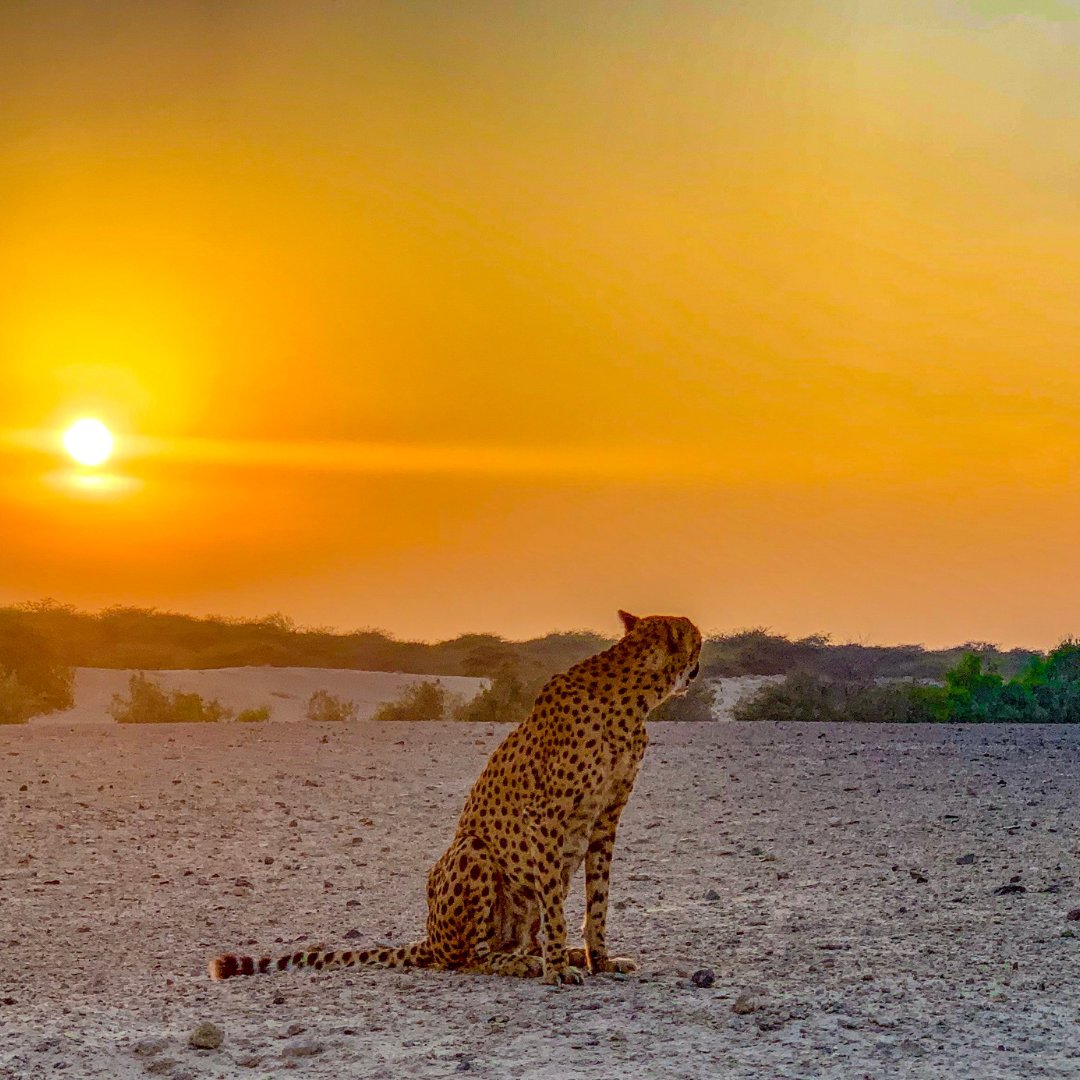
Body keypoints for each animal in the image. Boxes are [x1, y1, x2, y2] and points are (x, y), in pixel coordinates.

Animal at [207, 613, 704, 984]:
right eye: (697, 640)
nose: (701, 658)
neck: (632, 699)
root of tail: (431, 937)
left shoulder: (605, 820)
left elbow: (597, 901)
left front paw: (598, 958)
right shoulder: (545, 815)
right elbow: (557, 910)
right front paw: (558, 967)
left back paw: (543, 954)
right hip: (473, 851)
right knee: (468, 956)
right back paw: (527, 961)